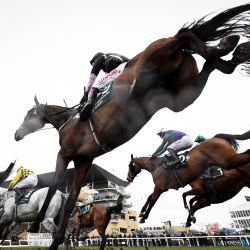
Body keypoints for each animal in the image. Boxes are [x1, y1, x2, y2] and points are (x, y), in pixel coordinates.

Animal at [14, 3, 250, 248]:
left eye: (28, 114)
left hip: (156, 56)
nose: (16, 134)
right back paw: (229, 55)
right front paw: (57, 239)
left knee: (183, 35)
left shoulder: (66, 153)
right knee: (207, 64)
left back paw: (226, 45)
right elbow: (70, 201)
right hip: (181, 96)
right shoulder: (83, 161)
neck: (68, 120)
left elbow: (53, 188)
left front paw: (35, 223)